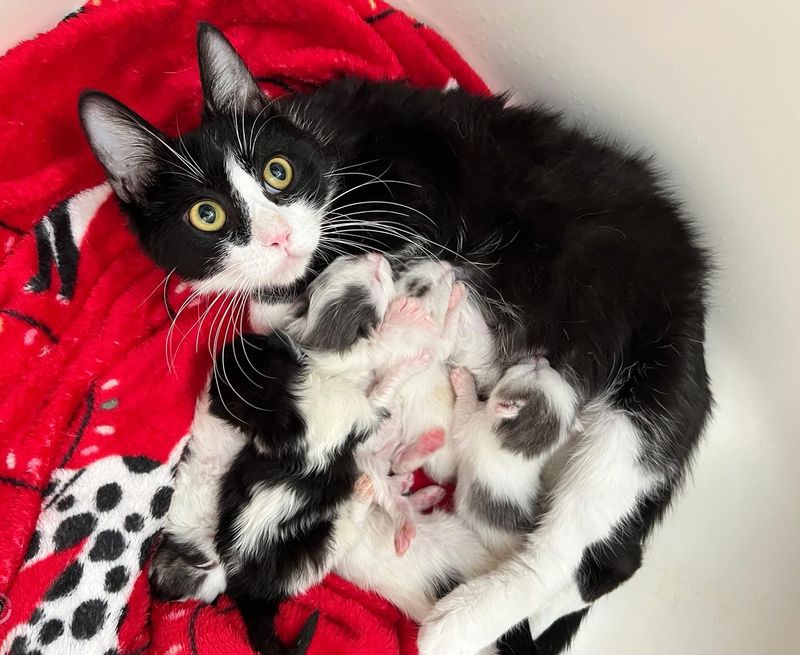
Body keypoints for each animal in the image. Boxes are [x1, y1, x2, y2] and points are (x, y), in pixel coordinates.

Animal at [76, 23, 712, 652]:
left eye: (277, 172)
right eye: (205, 215)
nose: (280, 237)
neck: (324, 149)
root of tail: (697, 296)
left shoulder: (403, 206)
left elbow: (277, 330)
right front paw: (195, 541)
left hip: (650, 387)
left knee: (581, 539)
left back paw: (459, 622)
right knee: (609, 556)